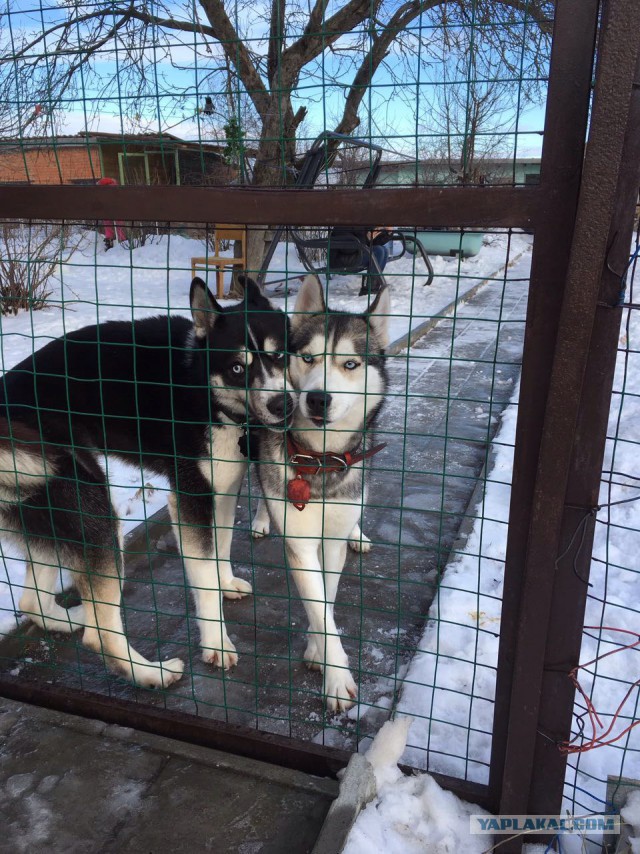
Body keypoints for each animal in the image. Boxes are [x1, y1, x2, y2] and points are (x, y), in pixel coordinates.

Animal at [0, 278, 290, 692]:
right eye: (237, 367)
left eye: (280, 354)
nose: (283, 406)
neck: (199, 385)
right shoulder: (190, 498)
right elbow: (203, 577)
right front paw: (216, 643)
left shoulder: (219, 492)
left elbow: (220, 549)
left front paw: (225, 582)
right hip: (94, 511)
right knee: (100, 634)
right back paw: (151, 673)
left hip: (50, 514)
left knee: (32, 602)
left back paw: (73, 619)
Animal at [255, 278, 390, 712]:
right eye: (308, 358)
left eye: (350, 364)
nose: (317, 398)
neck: (320, 459)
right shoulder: (299, 541)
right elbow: (317, 604)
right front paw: (336, 677)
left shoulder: (330, 538)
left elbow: (326, 600)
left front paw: (318, 651)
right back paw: (261, 519)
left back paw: (358, 534)